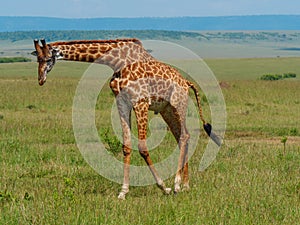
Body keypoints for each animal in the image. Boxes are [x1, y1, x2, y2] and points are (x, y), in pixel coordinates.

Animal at [32, 37, 220, 200]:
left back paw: (176, 184)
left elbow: (142, 147)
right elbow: (126, 146)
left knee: (184, 136)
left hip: (178, 105)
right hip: (166, 110)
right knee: (182, 137)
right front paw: (123, 192)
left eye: (48, 59)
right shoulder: (122, 103)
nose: (40, 80)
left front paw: (163, 187)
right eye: (37, 59)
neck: (117, 61)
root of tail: (187, 83)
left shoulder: (140, 102)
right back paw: (185, 185)